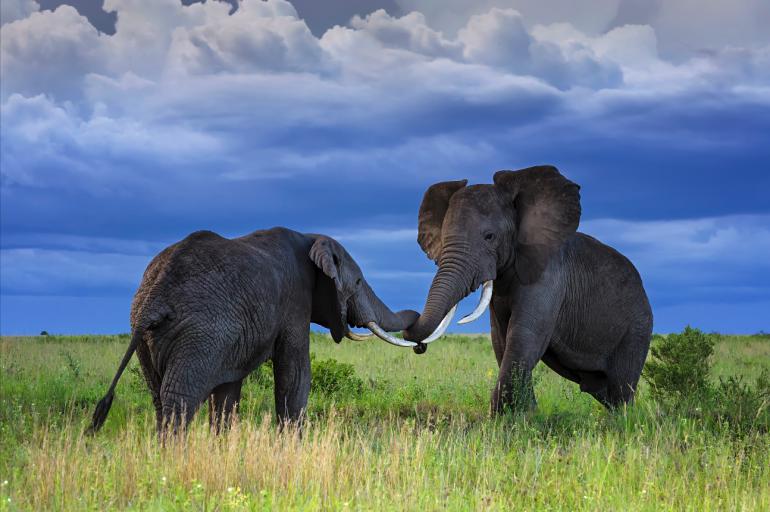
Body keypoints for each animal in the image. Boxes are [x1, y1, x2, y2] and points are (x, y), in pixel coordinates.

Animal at [88, 228, 420, 436]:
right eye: (359, 282)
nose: (419, 344)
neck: (311, 238)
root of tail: (154, 298)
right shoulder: (294, 302)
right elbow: (295, 374)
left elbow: (227, 392)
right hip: (197, 335)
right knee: (178, 400)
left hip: (151, 338)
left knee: (158, 397)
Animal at [404, 166, 652, 414]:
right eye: (444, 238)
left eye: (489, 237)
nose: (419, 347)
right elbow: (501, 340)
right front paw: (525, 414)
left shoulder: (549, 275)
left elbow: (524, 336)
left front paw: (508, 416)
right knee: (601, 389)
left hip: (637, 328)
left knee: (621, 387)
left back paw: (623, 419)